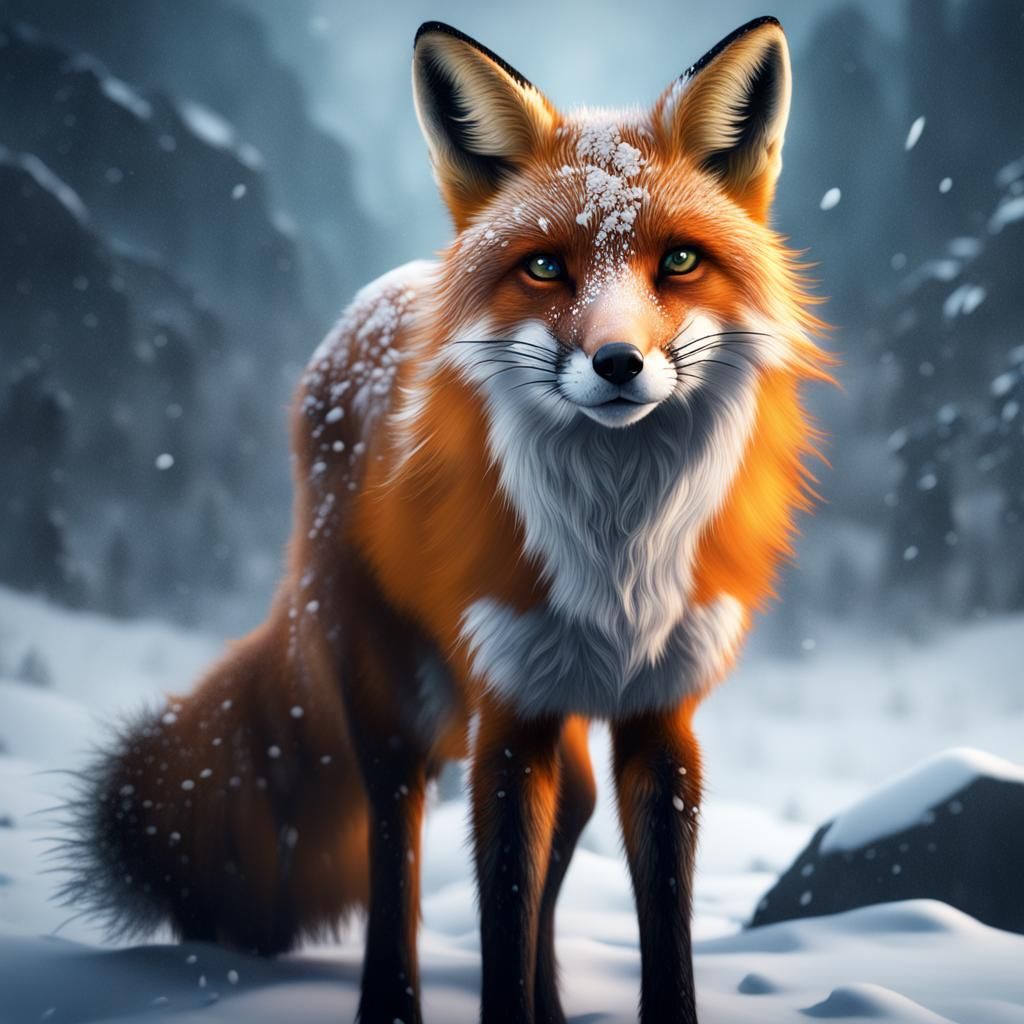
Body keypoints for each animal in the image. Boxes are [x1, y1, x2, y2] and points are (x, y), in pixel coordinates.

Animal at [66, 16, 833, 1024]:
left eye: (678, 259)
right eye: (544, 266)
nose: (618, 364)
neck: (615, 554)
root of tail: (365, 306)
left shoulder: (660, 718)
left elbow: (659, 935)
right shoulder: (505, 717)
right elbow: (497, 912)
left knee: (564, 822)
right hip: (394, 690)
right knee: (395, 836)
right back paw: (389, 1002)